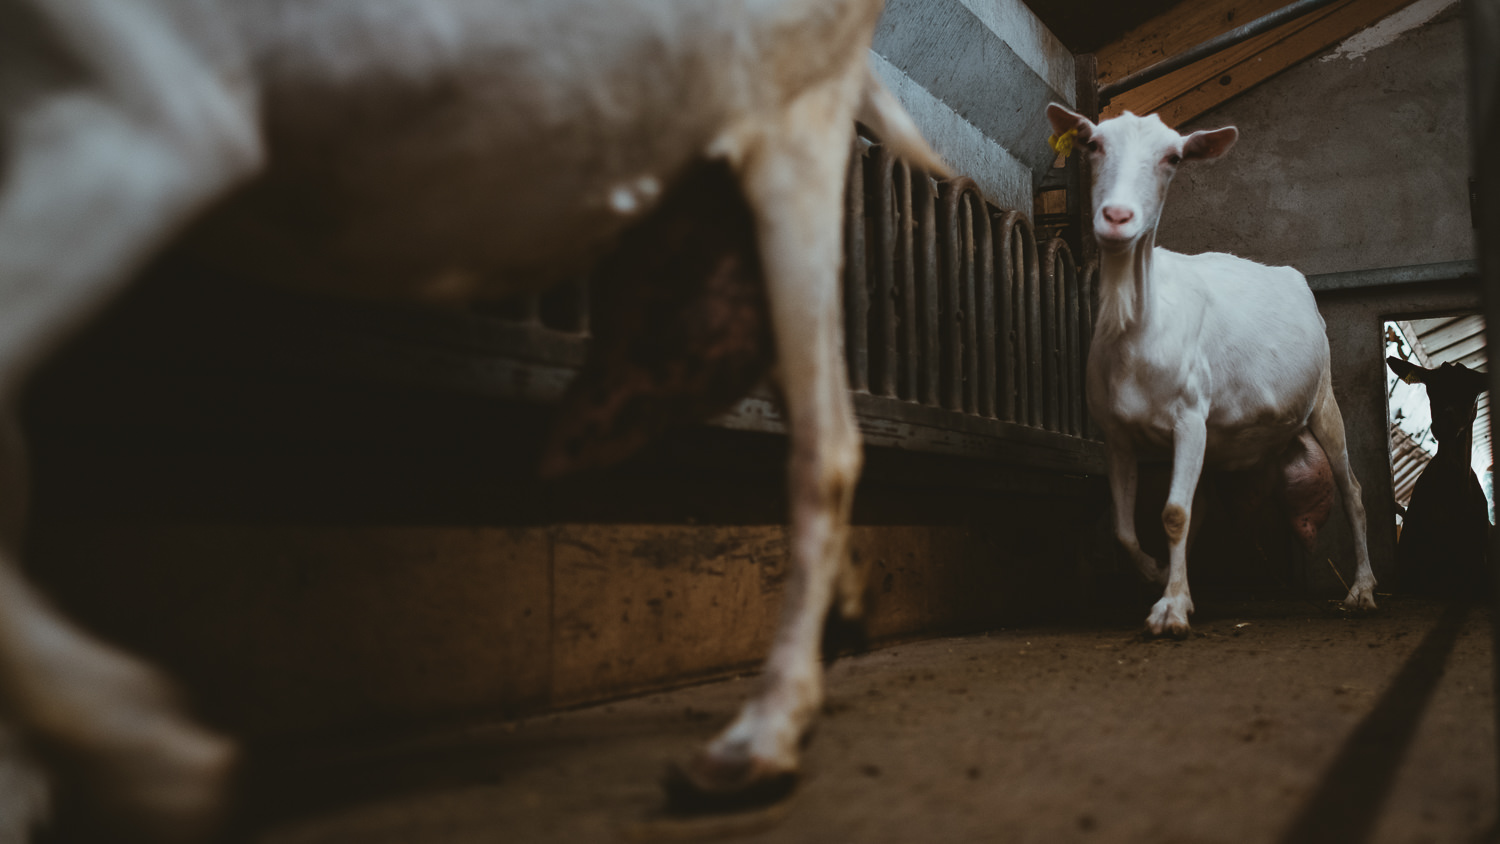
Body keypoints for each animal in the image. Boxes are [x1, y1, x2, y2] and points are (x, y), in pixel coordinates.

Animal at [0, 1, 942, 839]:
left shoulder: (147, 119)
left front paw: (160, 759)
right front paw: (35, 786)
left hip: (793, 122)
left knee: (826, 443)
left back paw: (756, 741)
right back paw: (839, 623)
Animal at [1050, 104, 1374, 635]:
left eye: (1174, 158)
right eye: (1091, 144)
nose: (1117, 218)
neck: (1140, 328)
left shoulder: (1190, 416)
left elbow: (1174, 514)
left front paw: (1169, 610)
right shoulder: (1116, 434)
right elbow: (1126, 527)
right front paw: (1160, 578)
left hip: (1325, 399)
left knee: (1353, 492)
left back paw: (1362, 591)